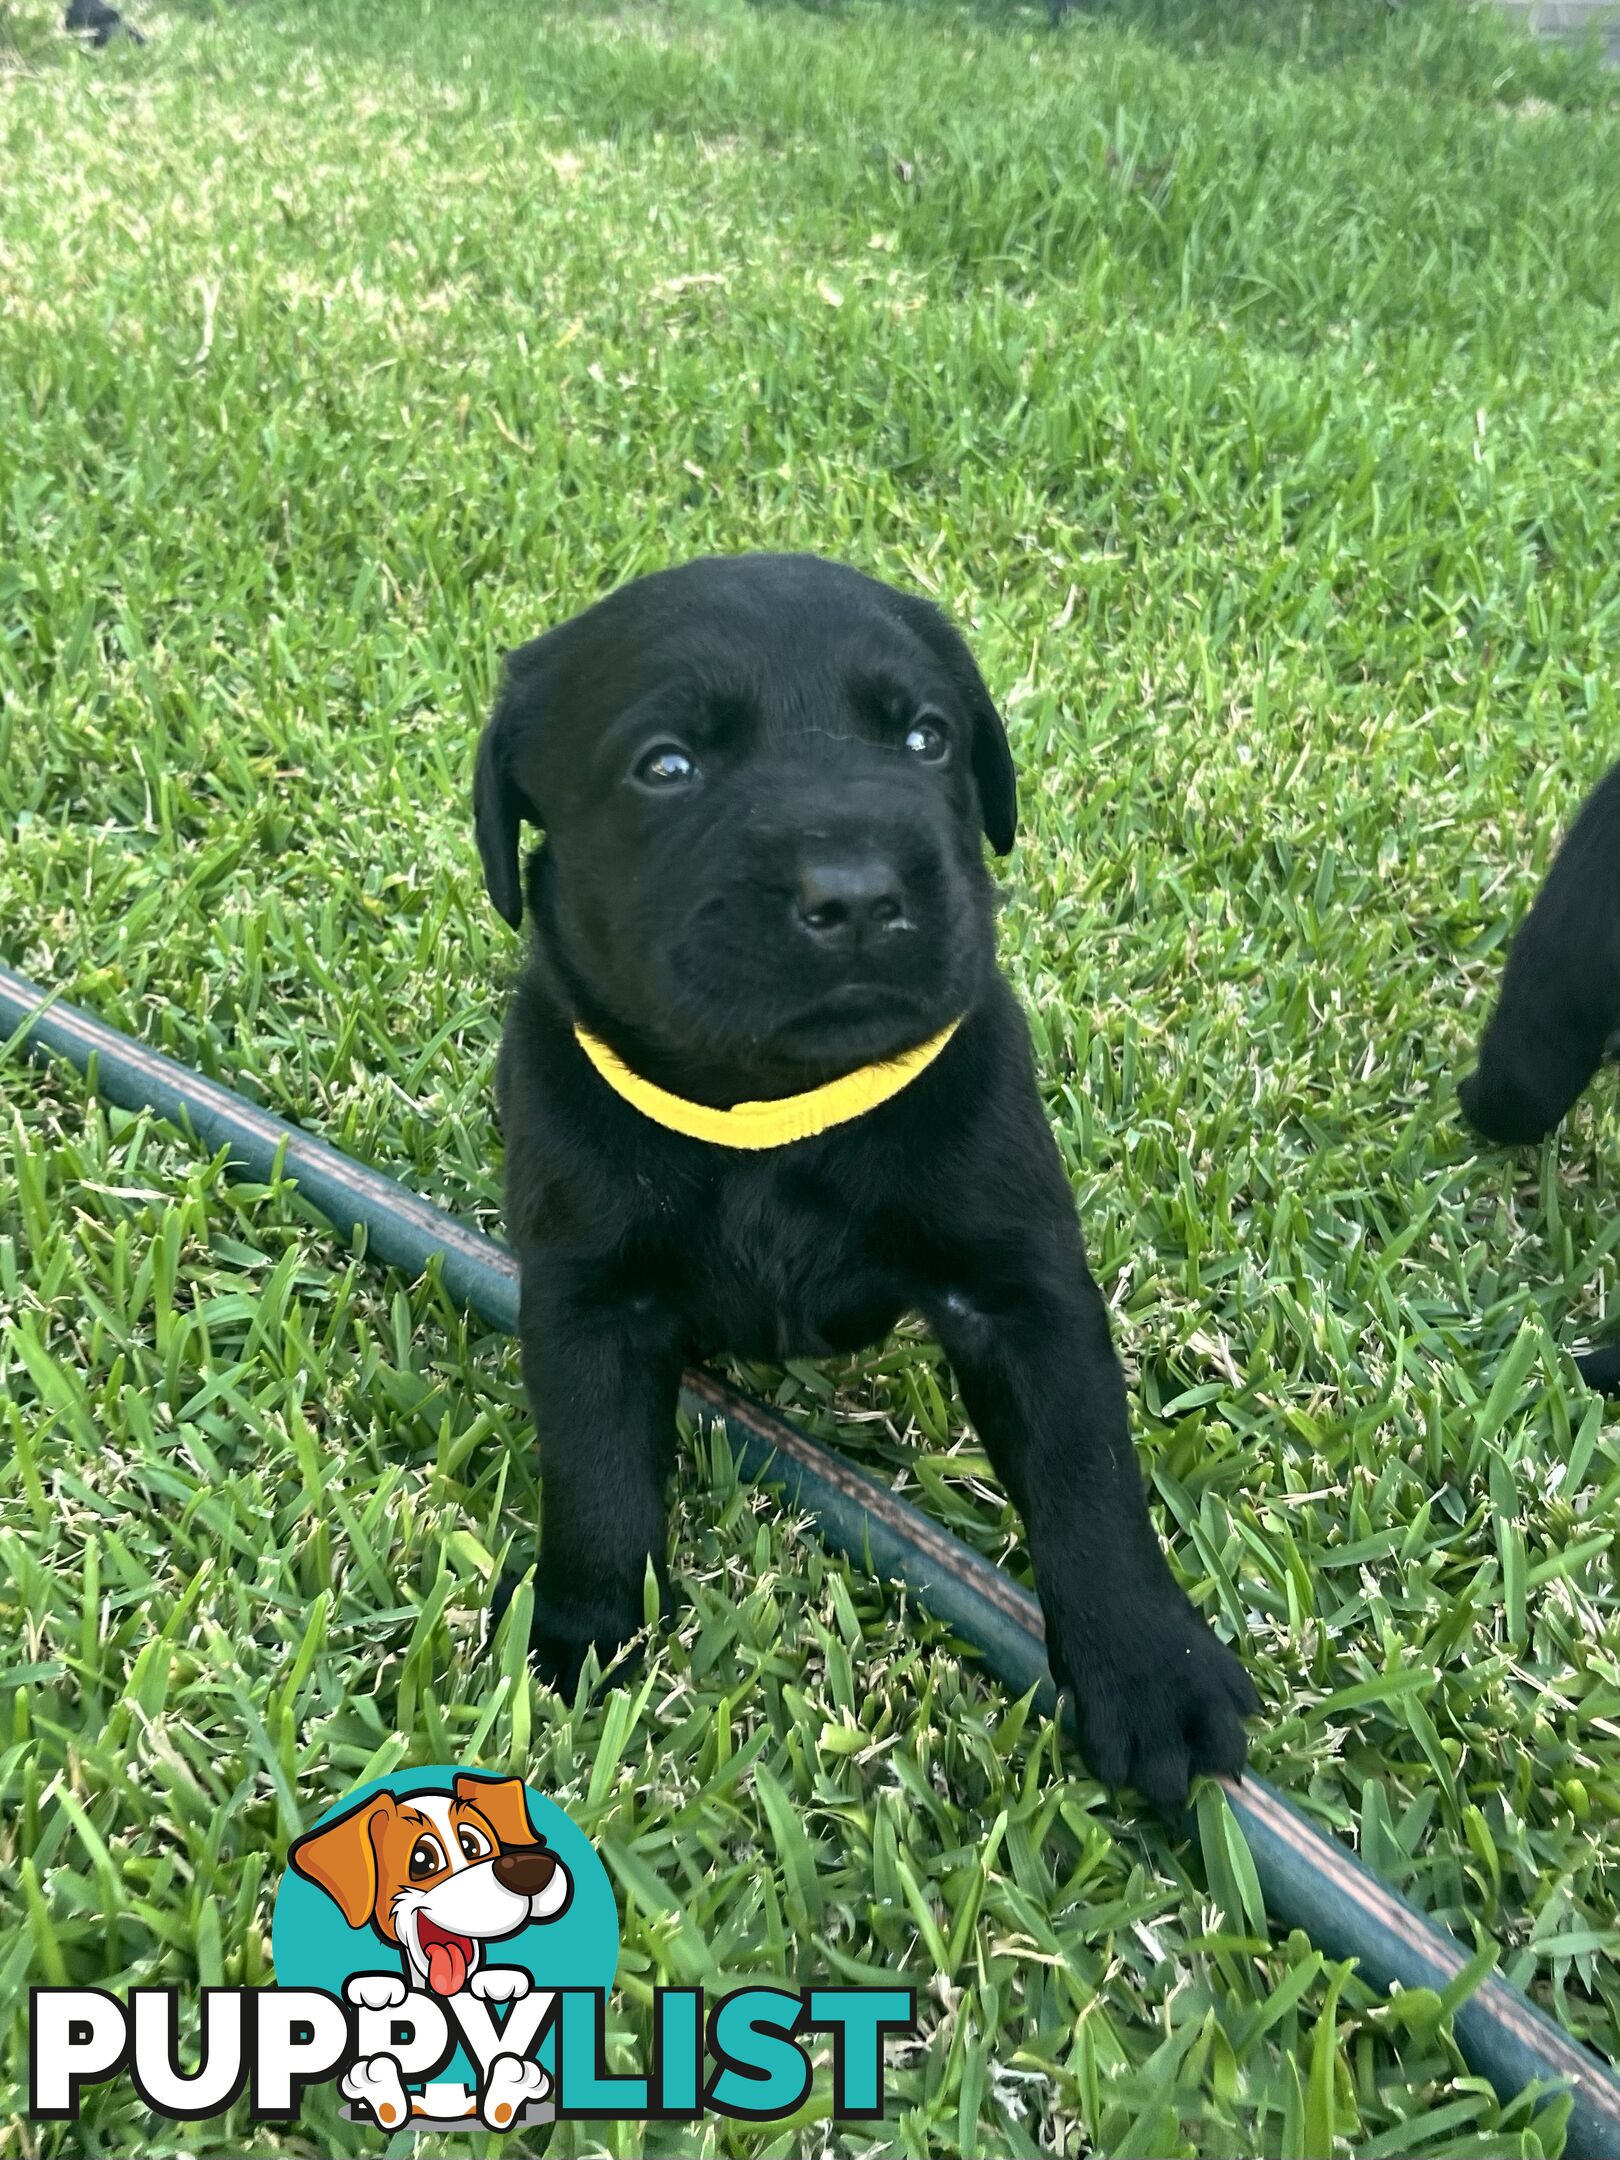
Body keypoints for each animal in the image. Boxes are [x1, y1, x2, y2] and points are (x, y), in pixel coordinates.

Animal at [475, 552, 1261, 1805]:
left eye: (928, 739)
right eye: (666, 766)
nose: (854, 895)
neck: (777, 1106)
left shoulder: (1020, 1292)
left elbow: (1089, 1479)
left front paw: (1150, 1671)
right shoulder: (588, 1298)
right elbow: (593, 1473)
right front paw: (583, 1634)